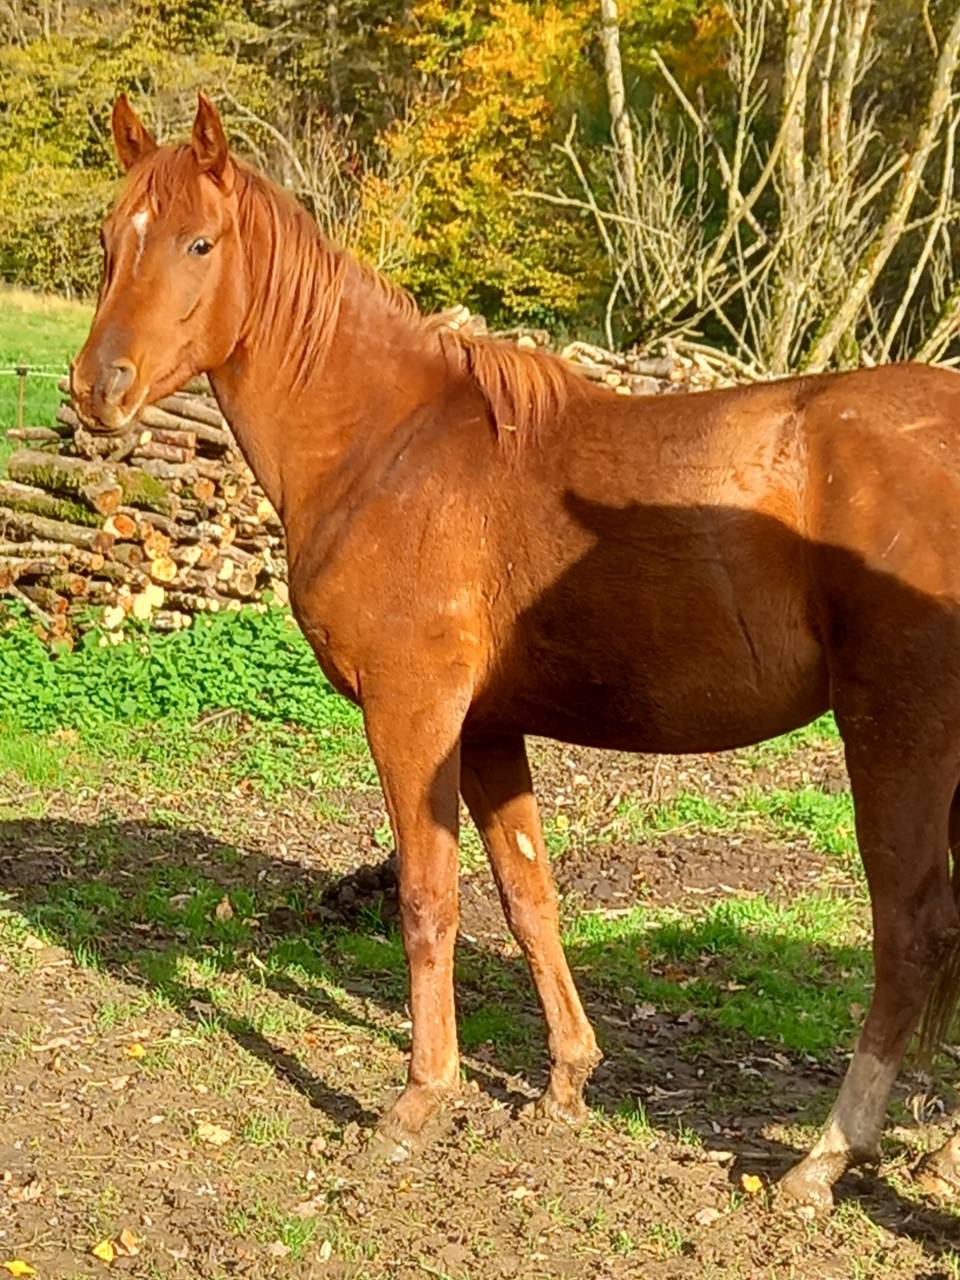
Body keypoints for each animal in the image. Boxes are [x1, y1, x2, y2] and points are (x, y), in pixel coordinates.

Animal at [70, 93, 960, 1212]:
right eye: (111, 239)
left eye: (199, 242)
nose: (97, 389)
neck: (390, 446)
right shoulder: (490, 726)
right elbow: (529, 897)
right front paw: (565, 1083)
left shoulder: (414, 716)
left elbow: (427, 898)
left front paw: (417, 1103)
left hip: (899, 735)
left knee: (913, 933)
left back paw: (822, 1161)